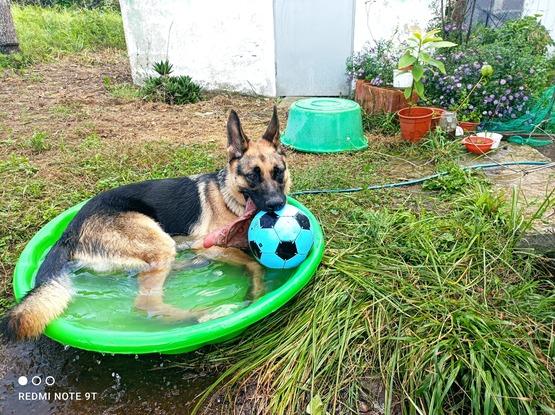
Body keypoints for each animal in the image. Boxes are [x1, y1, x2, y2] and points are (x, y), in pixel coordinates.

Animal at [3, 107, 292, 342]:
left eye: (278, 172)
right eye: (252, 176)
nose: (277, 205)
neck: (229, 196)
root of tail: (70, 231)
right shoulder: (210, 245)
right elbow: (254, 263)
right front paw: (256, 292)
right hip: (158, 242)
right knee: (147, 305)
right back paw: (205, 314)